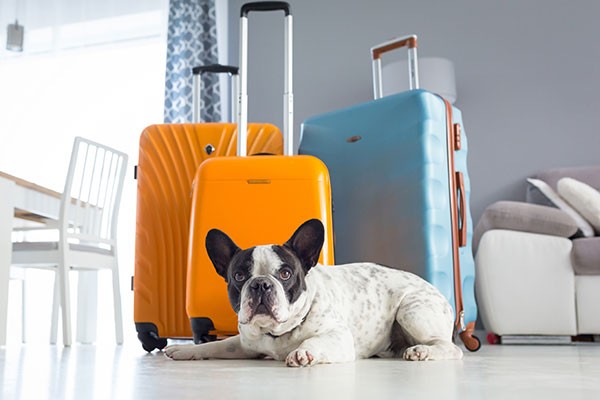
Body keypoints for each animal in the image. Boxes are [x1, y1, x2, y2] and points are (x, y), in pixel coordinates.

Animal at [165, 217, 464, 368]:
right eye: (239, 276)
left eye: (285, 274)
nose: (261, 284)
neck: (277, 333)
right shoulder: (245, 344)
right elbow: (217, 345)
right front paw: (185, 351)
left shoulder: (338, 337)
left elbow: (314, 340)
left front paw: (303, 352)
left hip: (411, 310)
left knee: (449, 347)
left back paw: (422, 352)